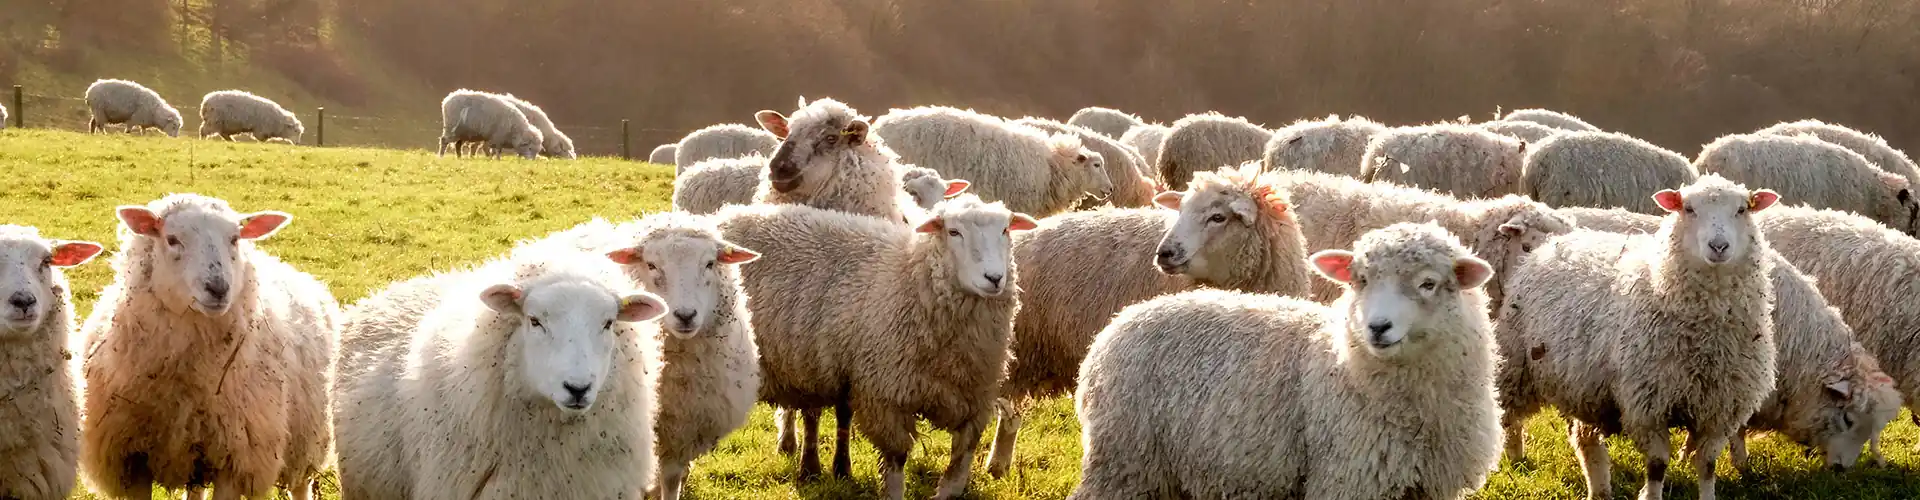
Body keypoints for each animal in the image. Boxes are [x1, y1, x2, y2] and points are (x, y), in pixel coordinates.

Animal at [79, 194, 338, 500]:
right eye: (172, 239)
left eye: (235, 238)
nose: (218, 288)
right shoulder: (130, 460)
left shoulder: (236, 460)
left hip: (308, 440)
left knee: (301, 484)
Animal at [714, 195, 1037, 500]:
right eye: (954, 231)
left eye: (1005, 230)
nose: (994, 278)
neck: (910, 280)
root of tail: (725, 215)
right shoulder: (887, 395)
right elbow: (895, 460)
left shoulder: (974, 399)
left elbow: (959, 468)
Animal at [1071, 222, 1503, 499]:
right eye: (1360, 280)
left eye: (1428, 283)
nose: (1378, 327)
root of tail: (1116, 326)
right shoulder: (1348, 477)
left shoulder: (1431, 486)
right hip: (1125, 459)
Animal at [1494, 175, 1779, 500]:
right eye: (1689, 209)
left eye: (1742, 209)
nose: (1718, 246)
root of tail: (1549, 244)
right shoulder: (1647, 405)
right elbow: (1657, 465)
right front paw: (1651, 495)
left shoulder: (1720, 408)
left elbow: (1707, 466)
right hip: (1516, 364)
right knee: (1505, 415)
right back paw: (1511, 457)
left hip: (1583, 386)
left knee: (1586, 440)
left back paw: (1599, 489)